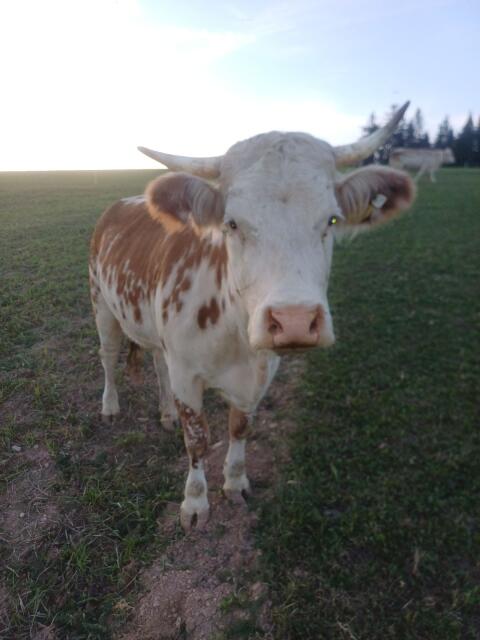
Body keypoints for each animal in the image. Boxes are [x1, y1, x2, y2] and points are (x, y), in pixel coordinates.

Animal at [89, 102, 416, 531]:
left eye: (331, 220)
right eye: (232, 223)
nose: (294, 321)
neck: (234, 336)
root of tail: (122, 203)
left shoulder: (260, 373)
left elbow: (240, 427)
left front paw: (235, 482)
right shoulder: (187, 375)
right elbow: (198, 439)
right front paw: (195, 503)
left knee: (157, 364)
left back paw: (165, 413)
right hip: (102, 305)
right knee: (109, 357)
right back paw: (110, 407)